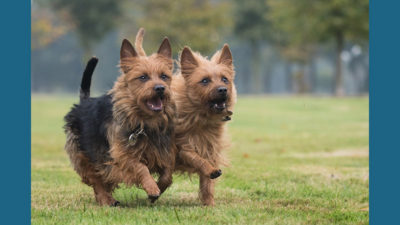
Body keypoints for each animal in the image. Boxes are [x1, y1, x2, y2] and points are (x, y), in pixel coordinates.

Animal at [63, 29, 176, 207]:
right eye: (143, 77)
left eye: (164, 76)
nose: (160, 88)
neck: (144, 121)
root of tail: (84, 101)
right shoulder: (122, 154)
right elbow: (140, 167)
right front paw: (151, 187)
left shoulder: (163, 152)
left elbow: (167, 173)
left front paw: (157, 189)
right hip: (84, 156)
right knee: (96, 179)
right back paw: (106, 199)